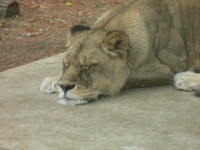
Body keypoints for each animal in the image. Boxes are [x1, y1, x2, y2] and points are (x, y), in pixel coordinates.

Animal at [40, 0, 200, 105]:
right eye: (66, 64)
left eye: (88, 66)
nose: (64, 87)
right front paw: (53, 80)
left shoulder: (170, 66)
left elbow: (128, 77)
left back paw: (185, 78)